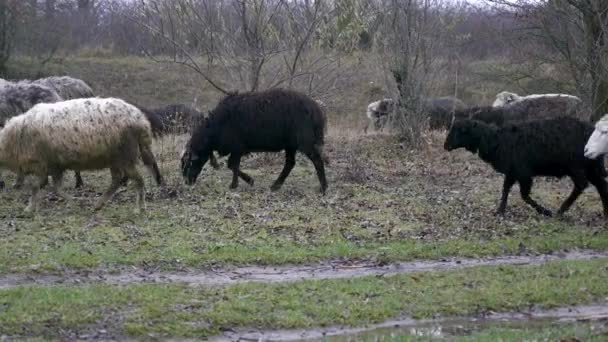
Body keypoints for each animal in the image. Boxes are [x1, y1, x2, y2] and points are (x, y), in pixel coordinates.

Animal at [0, 97, 163, 212]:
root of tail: (141, 120)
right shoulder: (54, 166)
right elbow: (53, 188)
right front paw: (71, 202)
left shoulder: (45, 164)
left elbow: (39, 186)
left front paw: (29, 208)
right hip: (115, 159)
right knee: (116, 181)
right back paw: (99, 204)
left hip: (125, 155)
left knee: (138, 180)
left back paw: (140, 208)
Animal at [180, 88, 328, 194]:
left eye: (190, 163)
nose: (187, 182)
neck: (216, 127)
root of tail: (316, 109)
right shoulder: (237, 149)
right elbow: (232, 165)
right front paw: (248, 181)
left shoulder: (237, 147)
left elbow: (232, 165)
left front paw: (237, 184)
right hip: (290, 144)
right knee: (290, 164)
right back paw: (275, 186)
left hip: (305, 141)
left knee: (317, 160)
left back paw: (323, 187)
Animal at [442, 117, 608, 216]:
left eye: (459, 131)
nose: (446, 146)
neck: (496, 141)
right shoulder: (512, 171)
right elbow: (505, 189)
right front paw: (500, 211)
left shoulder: (523, 173)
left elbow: (524, 195)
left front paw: (544, 211)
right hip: (590, 166)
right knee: (601, 186)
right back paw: (605, 213)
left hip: (576, 166)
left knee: (581, 185)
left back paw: (560, 211)